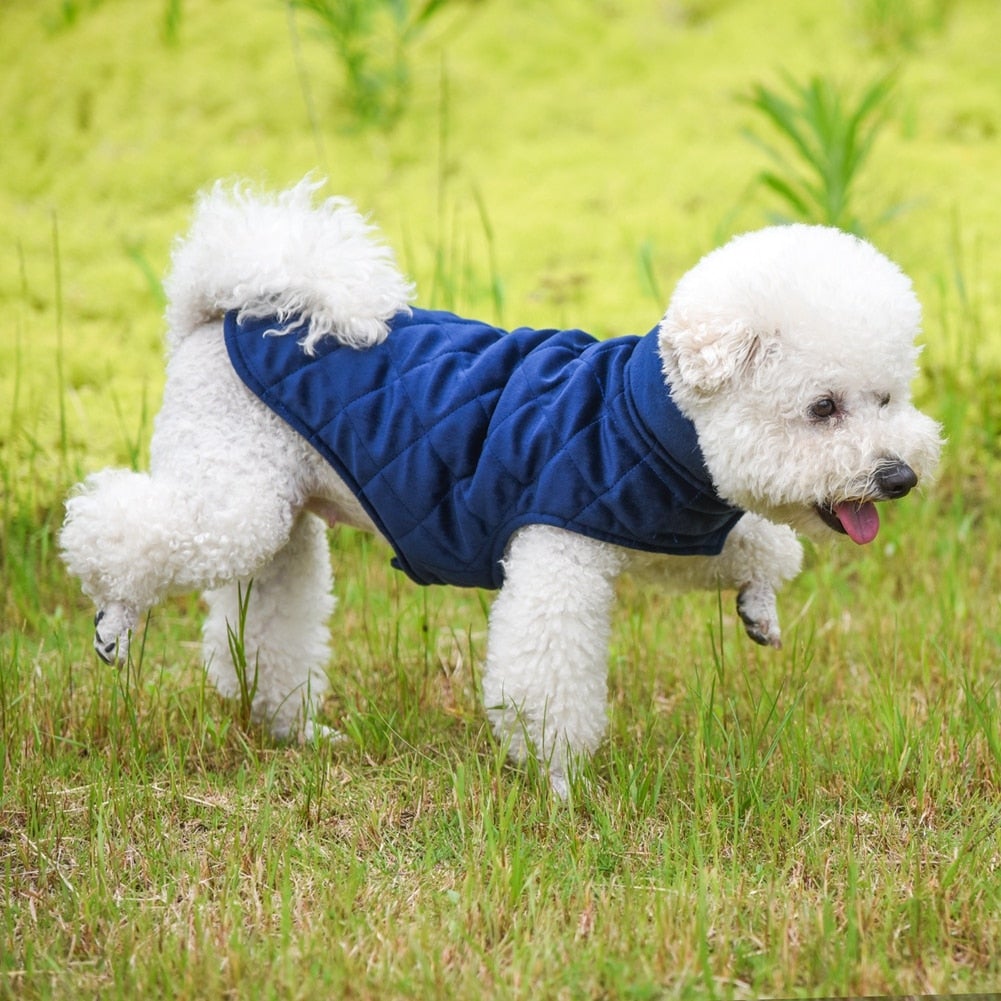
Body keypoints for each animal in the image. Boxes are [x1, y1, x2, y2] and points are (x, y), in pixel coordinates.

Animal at [58, 178, 940, 788]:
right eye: (822, 407)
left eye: (888, 398)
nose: (897, 476)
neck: (657, 421)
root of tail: (215, 314)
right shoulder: (560, 552)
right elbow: (545, 685)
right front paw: (561, 784)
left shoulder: (655, 524)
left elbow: (755, 547)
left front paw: (757, 604)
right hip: (234, 496)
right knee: (119, 528)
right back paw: (114, 618)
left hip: (280, 513)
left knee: (267, 626)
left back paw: (294, 731)